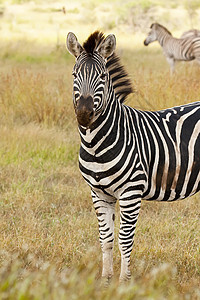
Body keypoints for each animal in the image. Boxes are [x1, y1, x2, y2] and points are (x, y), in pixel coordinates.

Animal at [66, 29, 200, 282]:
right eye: (74, 74)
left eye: (102, 76)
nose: (84, 114)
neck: (96, 143)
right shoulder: (99, 193)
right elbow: (106, 240)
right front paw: (105, 281)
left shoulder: (131, 192)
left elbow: (125, 240)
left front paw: (124, 282)